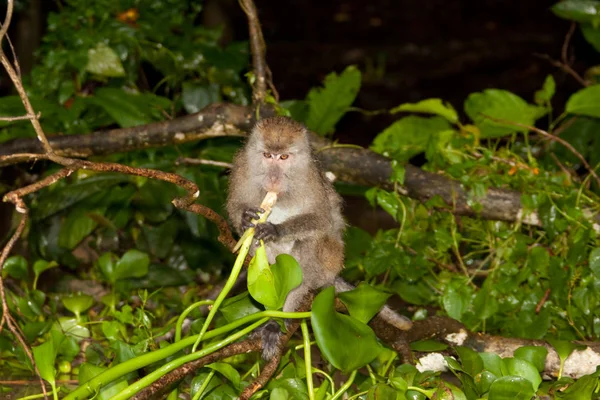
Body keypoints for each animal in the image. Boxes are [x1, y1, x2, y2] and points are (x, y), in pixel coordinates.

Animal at [226, 115, 412, 360]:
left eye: (284, 157)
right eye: (267, 155)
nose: (273, 178)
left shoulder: (310, 178)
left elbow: (323, 220)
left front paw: (276, 230)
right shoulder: (241, 168)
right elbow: (235, 208)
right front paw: (245, 219)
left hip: (330, 260)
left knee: (307, 253)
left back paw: (277, 320)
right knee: (260, 250)